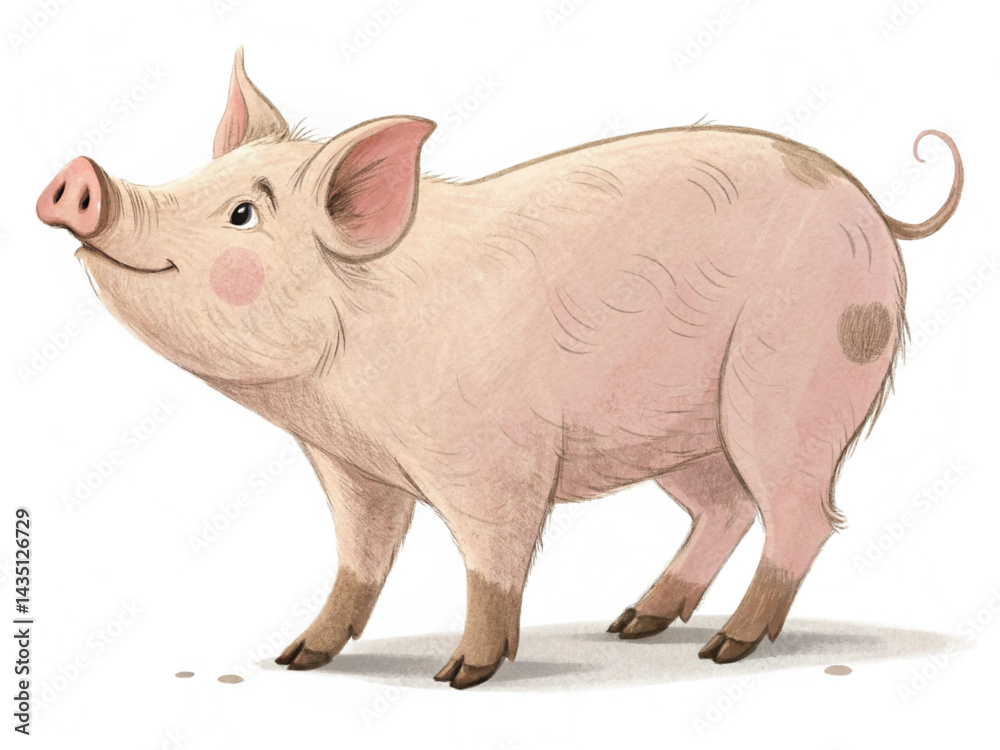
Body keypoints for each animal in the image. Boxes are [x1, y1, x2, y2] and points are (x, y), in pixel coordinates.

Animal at [37, 49, 963, 689]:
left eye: (241, 214)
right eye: (199, 175)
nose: (79, 178)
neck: (338, 395)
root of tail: (876, 210)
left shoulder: (495, 459)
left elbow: (493, 560)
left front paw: (460, 676)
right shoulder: (351, 467)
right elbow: (360, 557)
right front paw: (297, 657)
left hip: (790, 381)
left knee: (803, 516)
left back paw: (722, 649)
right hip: (687, 431)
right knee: (728, 509)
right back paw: (634, 625)